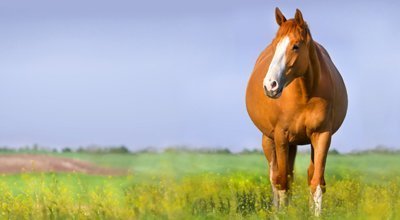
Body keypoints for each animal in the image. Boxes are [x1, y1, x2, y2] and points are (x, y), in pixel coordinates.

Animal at [244, 7, 346, 216]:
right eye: (275, 45)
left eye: (296, 46)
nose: (270, 85)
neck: (304, 94)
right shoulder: (281, 136)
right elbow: (282, 183)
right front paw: (282, 214)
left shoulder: (322, 135)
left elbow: (316, 182)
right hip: (269, 140)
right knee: (276, 178)